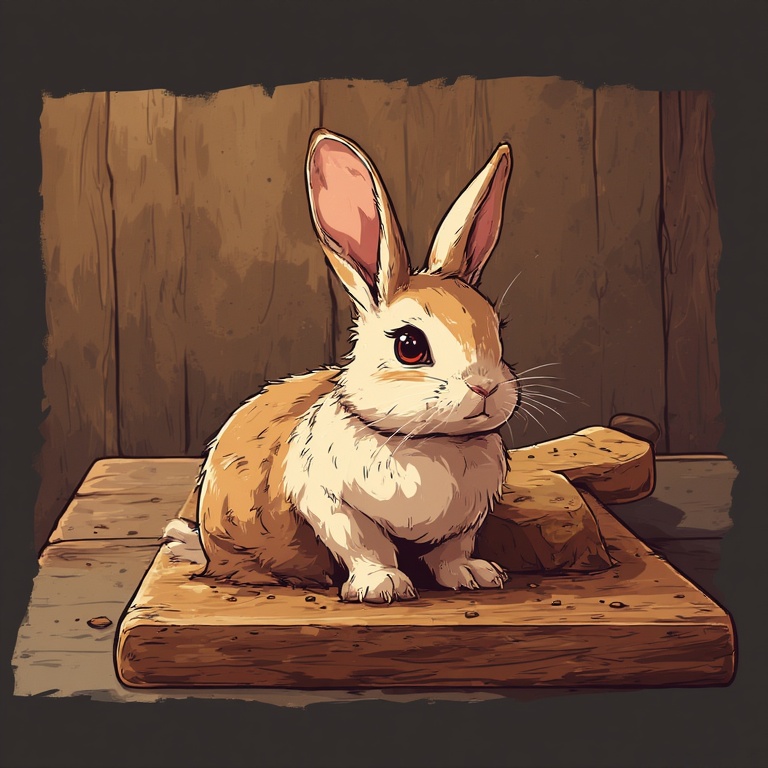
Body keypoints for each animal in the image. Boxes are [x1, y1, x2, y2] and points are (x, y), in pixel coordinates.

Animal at [167, 128, 519, 603]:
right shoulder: (328, 501)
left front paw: (474, 574)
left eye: (497, 330)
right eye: (409, 346)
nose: (484, 387)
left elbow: (451, 552)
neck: (427, 442)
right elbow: (365, 545)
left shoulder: (465, 522)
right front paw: (382, 587)